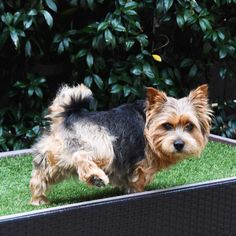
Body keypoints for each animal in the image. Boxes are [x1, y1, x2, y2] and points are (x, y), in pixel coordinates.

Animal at [29, 83, 212, 205]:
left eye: (189, 126)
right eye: (167, 126)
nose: (179, 144)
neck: (149, 125)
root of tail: (69, 115)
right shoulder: (140, 167)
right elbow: (137, 182)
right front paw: (137, 193)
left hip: (55, 159)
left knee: (40, 175)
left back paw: (38, 199)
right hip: (103, 146)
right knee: (81, 156)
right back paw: (95, 177)